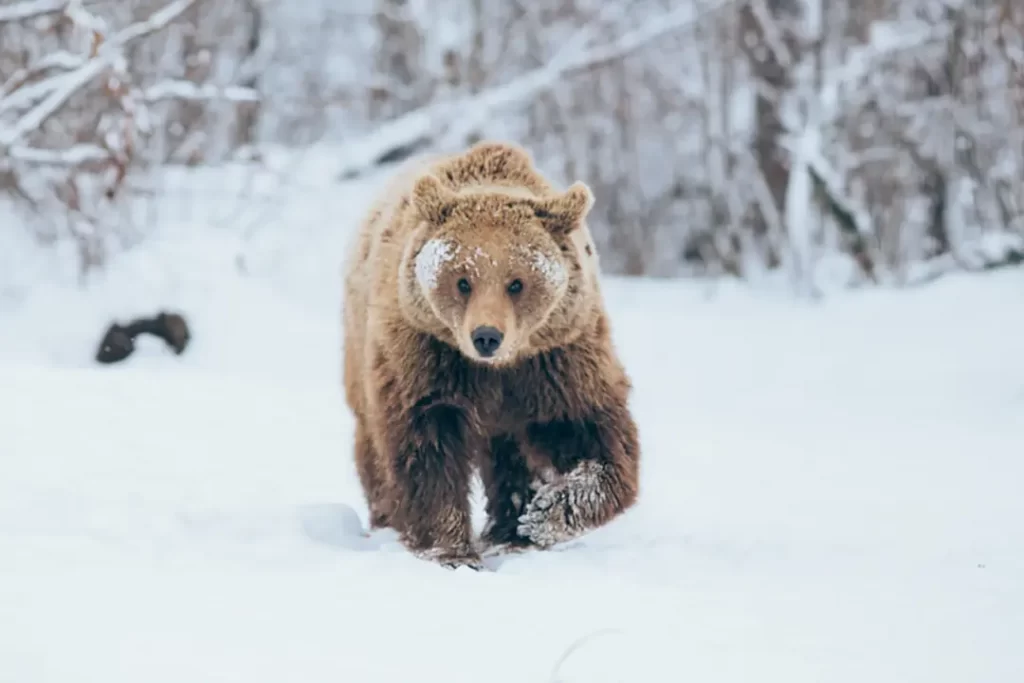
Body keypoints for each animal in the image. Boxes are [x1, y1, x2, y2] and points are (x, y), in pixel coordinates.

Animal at [344, 141, 638, 569]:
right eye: (463, 281)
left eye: (517, 283)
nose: (486, 336)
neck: (497, 370)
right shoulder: (427, 356)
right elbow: (426, 447)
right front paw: (451, 550)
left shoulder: (557, 359)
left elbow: (593, 434)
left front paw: (543, 515)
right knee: (373, 447)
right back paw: (386, 518)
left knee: (510, 455)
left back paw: (510, 530)